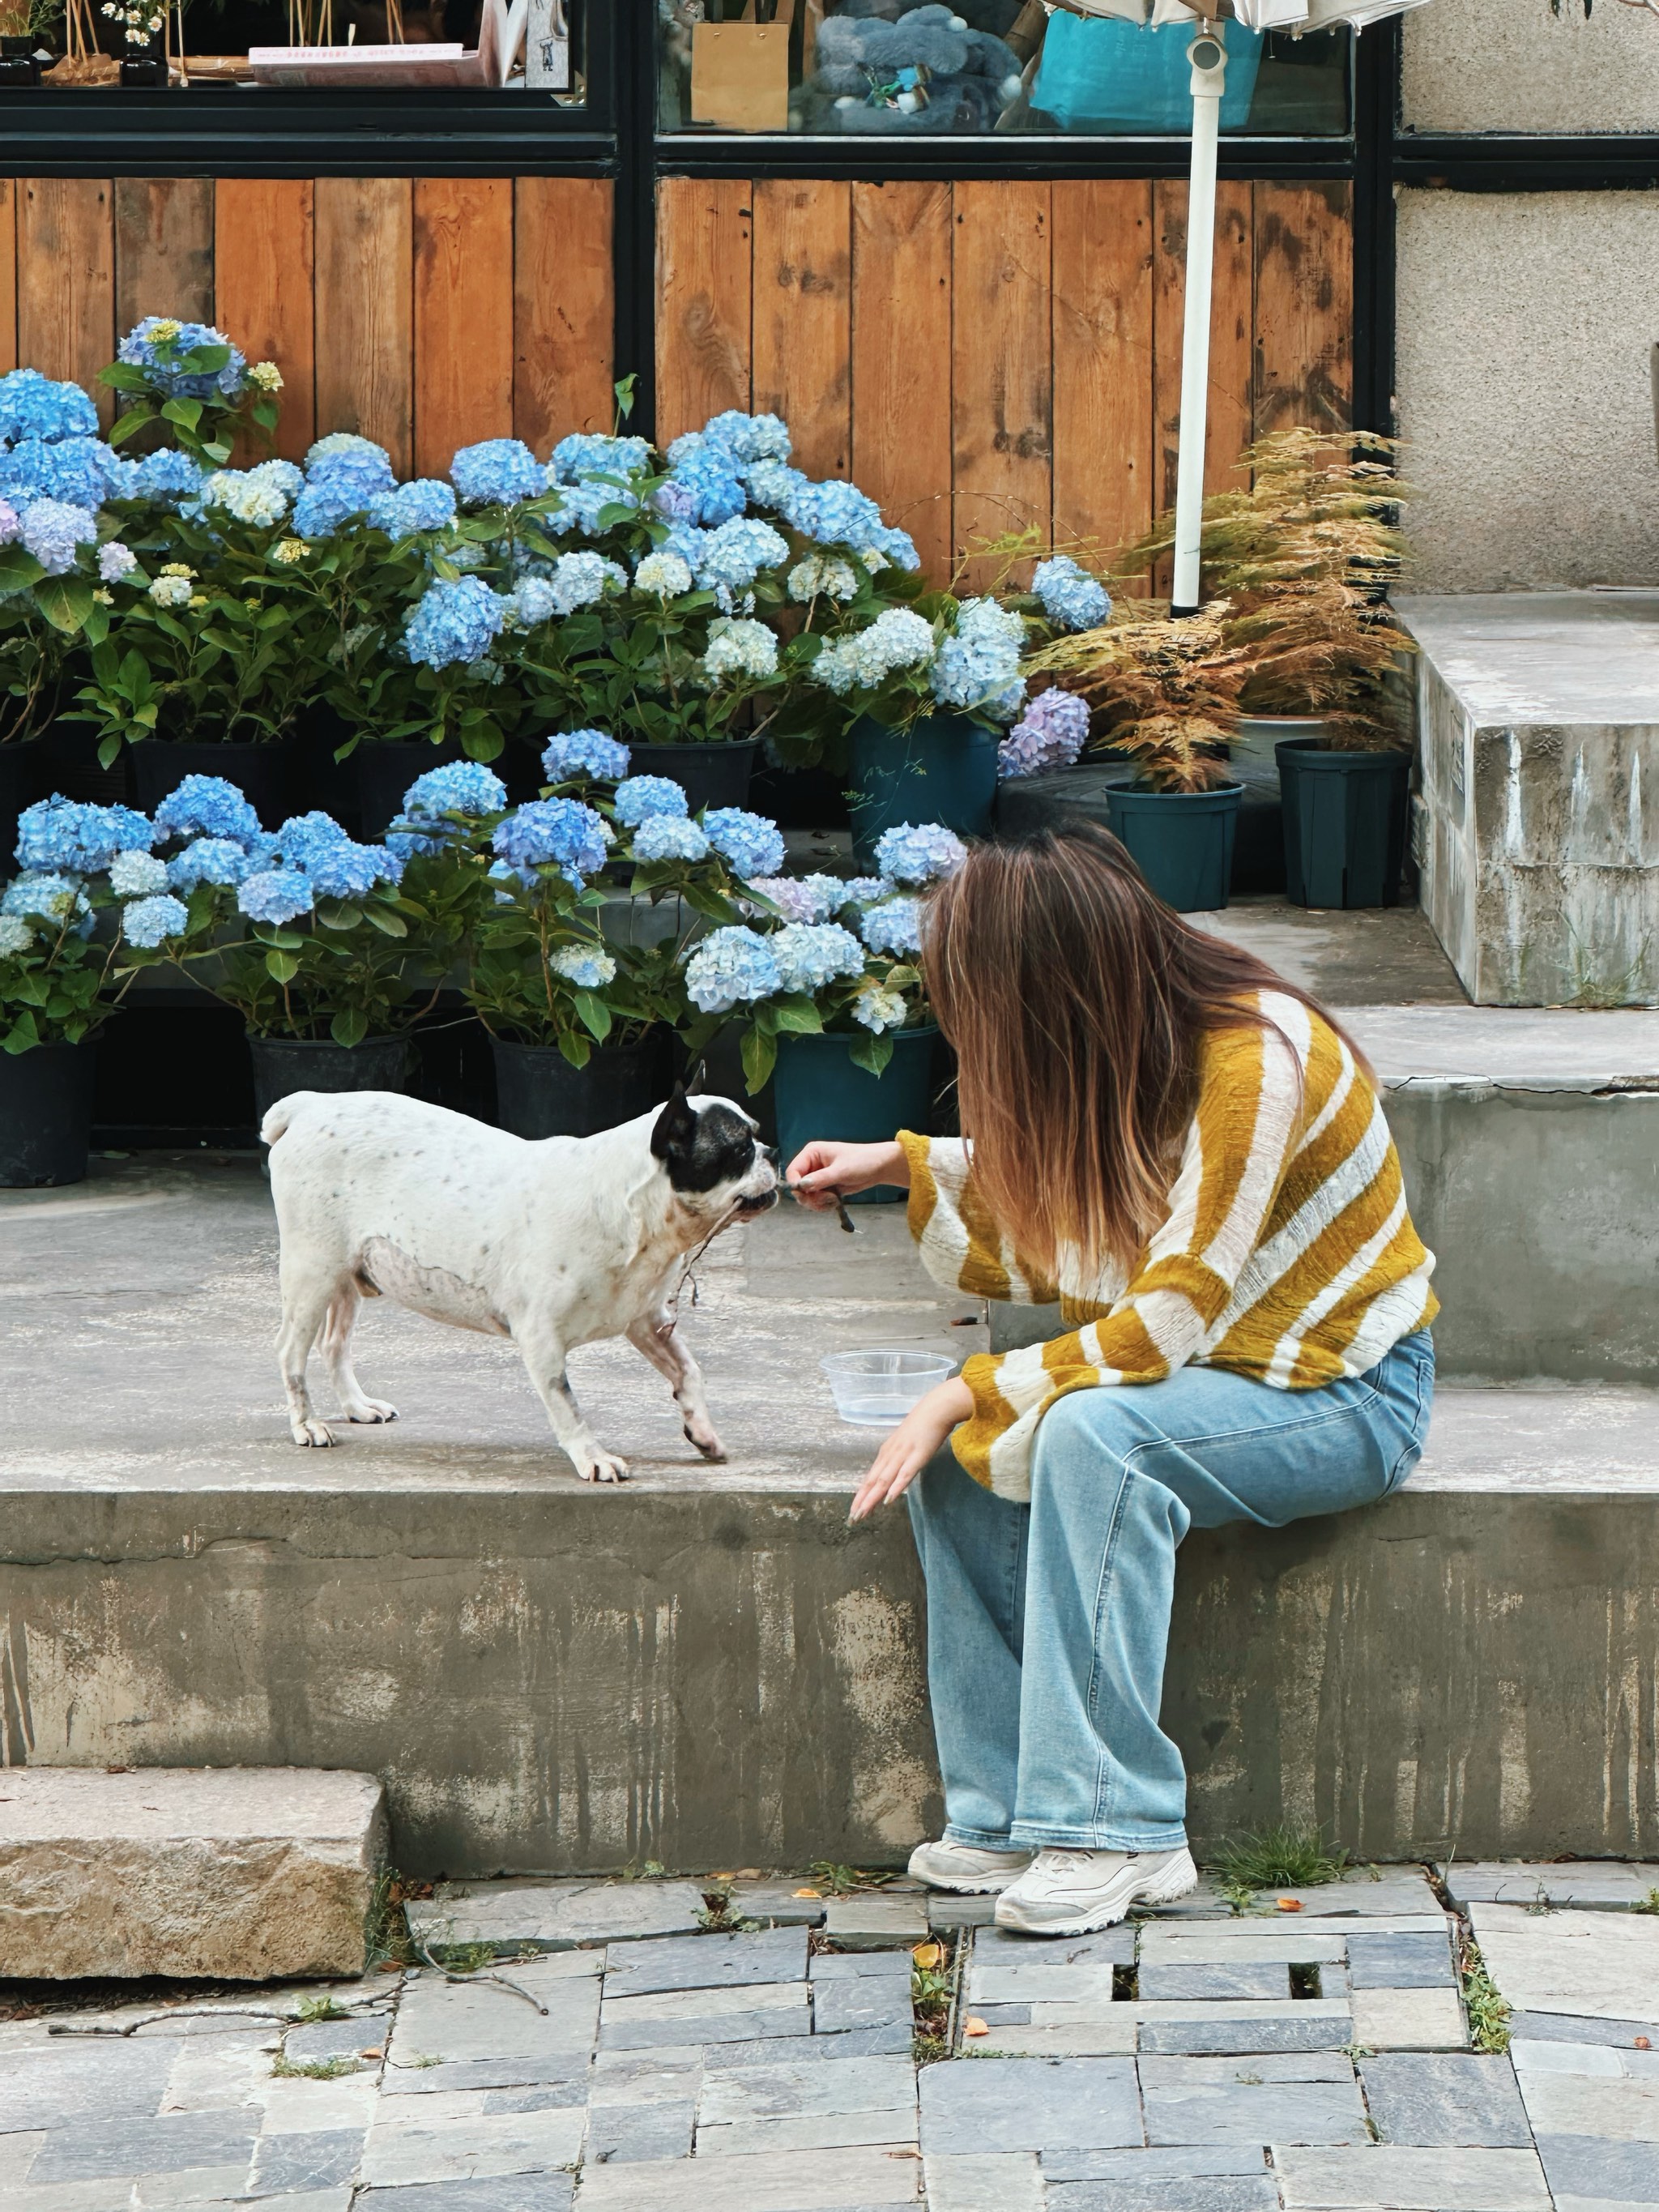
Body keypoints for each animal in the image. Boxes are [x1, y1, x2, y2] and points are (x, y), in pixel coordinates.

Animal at [259, 1079, 778, 1477]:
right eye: (739, 1149)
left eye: (756, 1136)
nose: (773, 1152)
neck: (631, 1208)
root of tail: (308, 1105)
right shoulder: (542, 1337)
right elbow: (566, 1403)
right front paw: (592, 1457)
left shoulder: (646, 1321)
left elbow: (688, 1371)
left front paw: (704, 1432)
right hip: (312, 1274)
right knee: (290, 1353)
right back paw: (306, 1424)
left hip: (344, 1279)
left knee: (334, 1344)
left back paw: (357, 1406)